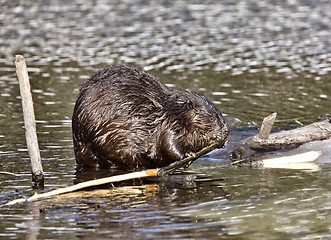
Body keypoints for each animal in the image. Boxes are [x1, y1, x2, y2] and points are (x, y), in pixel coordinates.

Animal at [71, 64, 230, 170]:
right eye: (211, 118)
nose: (227, 130)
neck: (170, 111)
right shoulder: (169, 125)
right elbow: (168, 144)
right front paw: (187, 155)